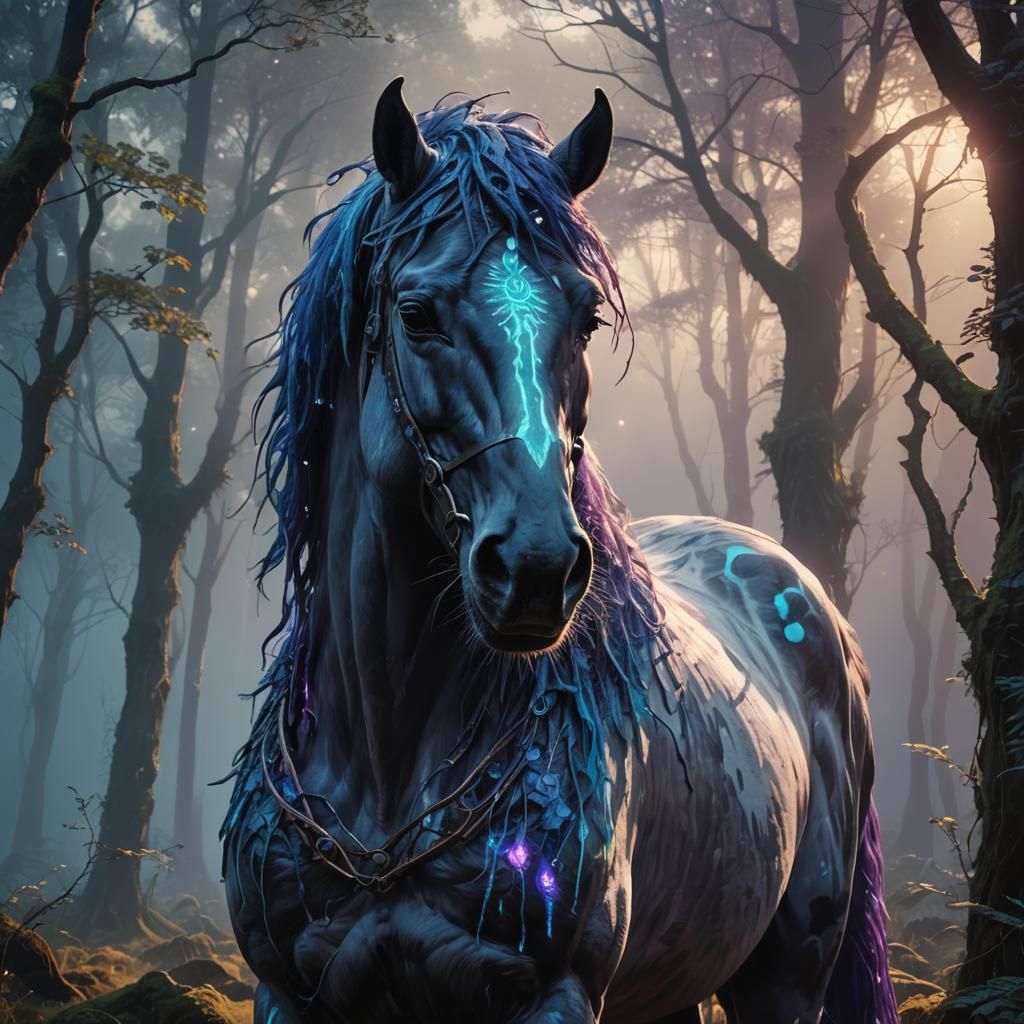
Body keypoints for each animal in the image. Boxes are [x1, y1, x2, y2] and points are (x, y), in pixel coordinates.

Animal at [221, 79, 899, 1024]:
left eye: (585, 317)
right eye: (415, 314)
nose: (536, 570)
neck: (386, 767)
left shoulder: (554, 995)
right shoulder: (284, 993)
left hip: (787, 976)